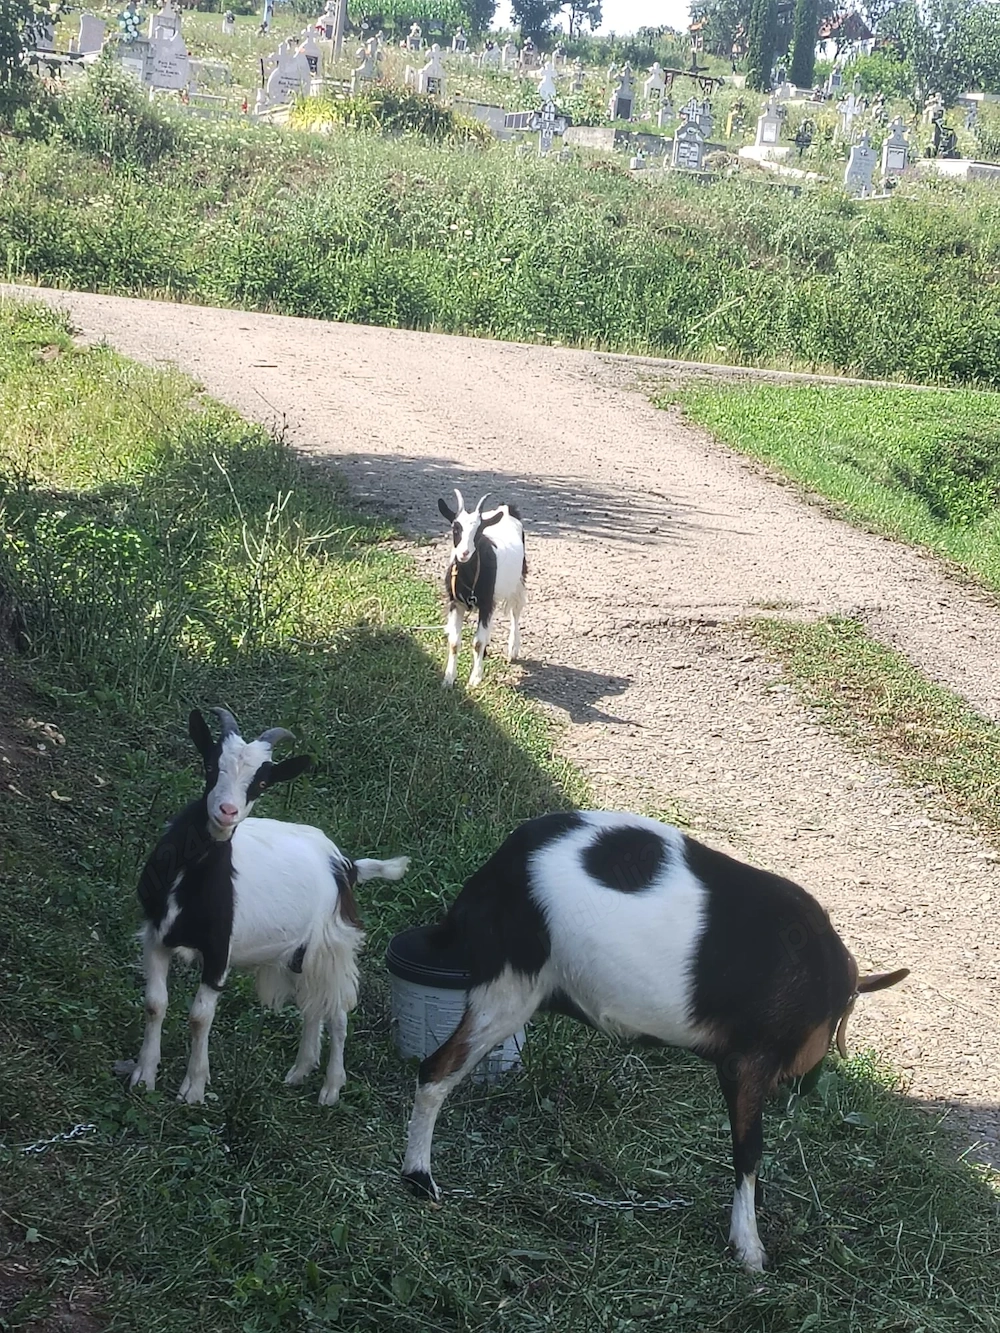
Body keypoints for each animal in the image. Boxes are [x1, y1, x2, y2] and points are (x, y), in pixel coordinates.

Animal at [130, 707, 409, 1106]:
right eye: (211, 765)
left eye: (261, 784)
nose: (227, 811)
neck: (191, 877)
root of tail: (347, 865)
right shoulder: (155, 936)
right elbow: (155, 1004)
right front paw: (143, 1076)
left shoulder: (218, 951)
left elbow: (200, 1017)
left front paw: (194, 1087)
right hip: (299, 954)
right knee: (313, 1007)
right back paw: (299, 1072)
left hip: (332, 947)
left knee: (337, 1012)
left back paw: (330, 1088)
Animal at [400, 811, 908, 1271]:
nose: (804, 1086)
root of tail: (498, 868)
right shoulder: (747, 1063)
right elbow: (748, 1152)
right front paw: (748, 1247)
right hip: (508, 990)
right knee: (436, 1071)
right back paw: (419, 1178)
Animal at [437, 488, 527, 689]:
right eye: (455, 528)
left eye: (478, 532)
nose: (464, 553)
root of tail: (506, 509)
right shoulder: (456, 603)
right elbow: (454, 641)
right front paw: (448, 678)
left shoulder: (486, 604)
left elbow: (478, 642)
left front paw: (475, 679)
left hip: (519, 580)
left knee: (516, 612)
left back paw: (513, 648)